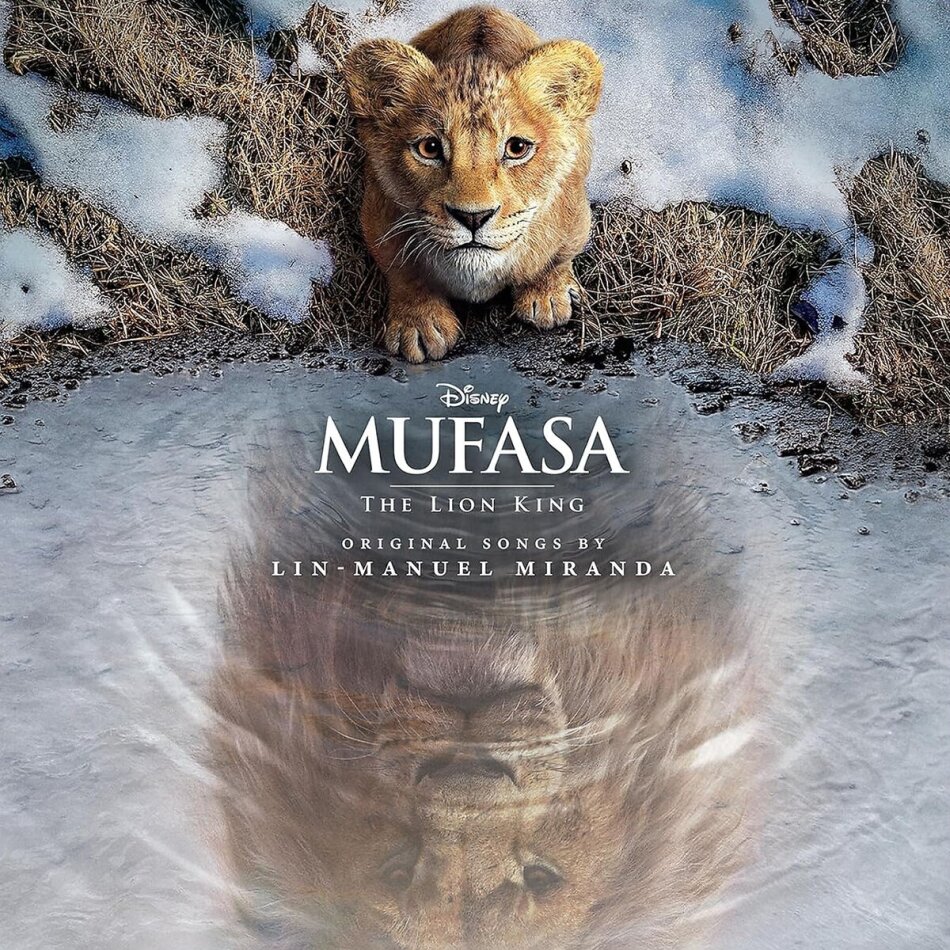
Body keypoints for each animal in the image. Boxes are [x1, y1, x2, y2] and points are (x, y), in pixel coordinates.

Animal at [344, 7, 603, 363]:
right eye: (429, 148)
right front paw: (419, 325)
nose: (473, 217)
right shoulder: (377, 216)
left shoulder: (575, 215)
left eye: (517, 148)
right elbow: (402, 271)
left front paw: (548, 296)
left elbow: (557, 257)